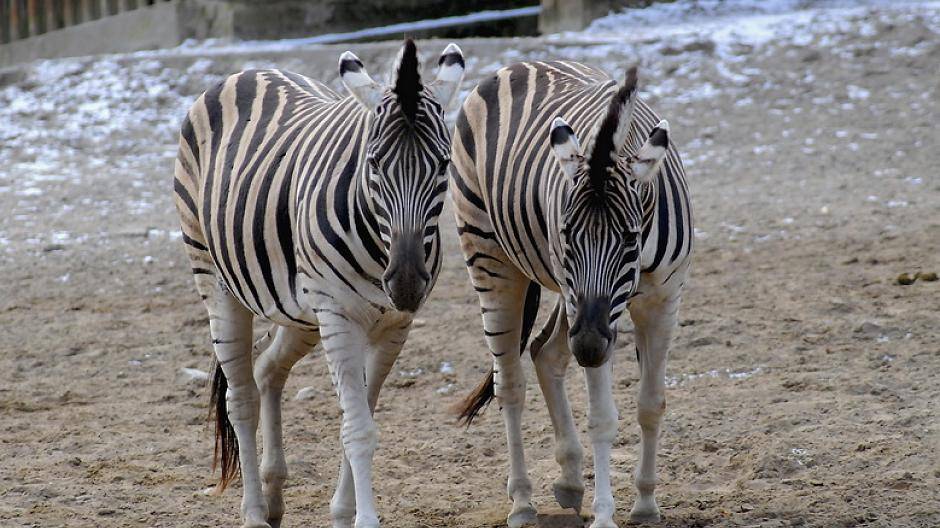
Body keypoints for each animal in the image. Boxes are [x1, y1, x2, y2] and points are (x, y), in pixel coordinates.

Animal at [173, 39, 465, 528]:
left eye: (443, 165)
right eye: (373, 165)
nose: (405, 283)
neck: (379, 246)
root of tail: (248, 71)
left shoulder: (393, 327)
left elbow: (362, 415)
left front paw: (344, 512)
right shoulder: (340, 318)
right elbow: (358, 428)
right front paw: (364, 519)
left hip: (300, 315)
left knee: (267, 369)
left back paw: (273, 495)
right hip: (217, 284)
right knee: (241, 399)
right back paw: (254, 512)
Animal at [451, 61, 692, 527]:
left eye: (630, 239)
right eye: (566, 237)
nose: (591, 348)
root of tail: (518, 65)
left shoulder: (663, 299)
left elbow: (651, 403)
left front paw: (645, 503)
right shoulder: (584, 303)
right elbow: (601, 418)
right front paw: (604, 515)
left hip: (571, 305)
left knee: (545, 352)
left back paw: (569, 482)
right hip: (492, 259)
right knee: (509, 383)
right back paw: (522, 502)